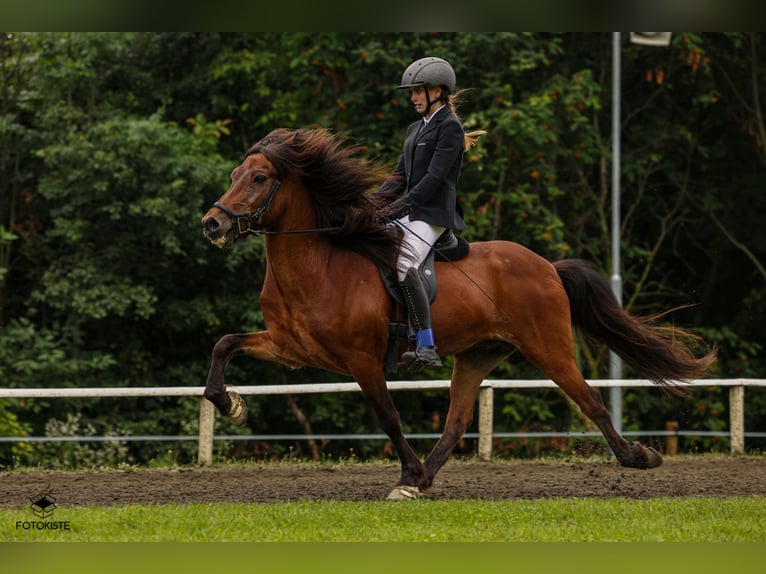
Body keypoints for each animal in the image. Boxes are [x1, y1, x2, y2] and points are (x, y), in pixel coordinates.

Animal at [201, 127, 716, 499]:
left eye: (259, 179)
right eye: (235, 173)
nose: (213, 223)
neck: (317, 264)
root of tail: (548, 265)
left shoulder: (362, 360)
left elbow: (388, 415)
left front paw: (405, 469)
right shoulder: (291, 348)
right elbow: (224, 345)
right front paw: (231, 404)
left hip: (548, 348)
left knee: (588, 399)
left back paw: (637, 457)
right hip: (477, 355)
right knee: (457, 420)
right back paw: (422, 480)